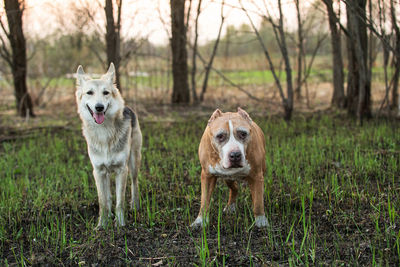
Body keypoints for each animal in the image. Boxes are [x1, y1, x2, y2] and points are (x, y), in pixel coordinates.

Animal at [75, 63, 142, 229]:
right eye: (89, 93)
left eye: (106, 93)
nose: (99, 107)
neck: (104, 132)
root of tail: (128, 107)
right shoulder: (98, 171)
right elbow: (103, 202)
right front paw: (102, 224)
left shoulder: (122, 170)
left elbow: (120, 201)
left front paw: (120, 224)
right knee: (108, 196)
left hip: (133, 162)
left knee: (135, 184)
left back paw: (135, 205)